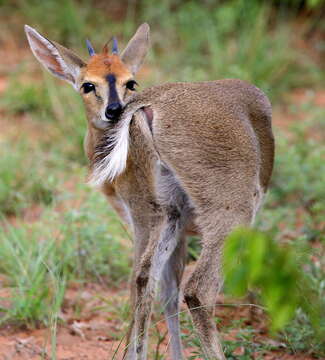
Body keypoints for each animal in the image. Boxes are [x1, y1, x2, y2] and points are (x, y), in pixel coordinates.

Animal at [26, 23, 274, 358]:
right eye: (87, 85)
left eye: (130, 80)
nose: (113, 110)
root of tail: (147, 106)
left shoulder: (147, 221)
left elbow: (158, 287)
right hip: (227, 213)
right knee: (196, 290)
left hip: (163, 215)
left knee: (143, 279)